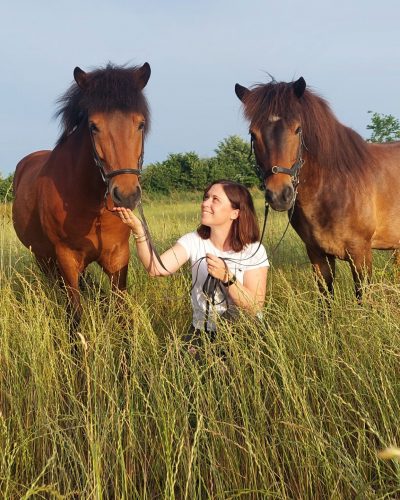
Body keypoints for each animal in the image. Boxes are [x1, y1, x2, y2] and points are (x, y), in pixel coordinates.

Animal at [13, 62, 152, 328]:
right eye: (93, 126)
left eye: (140, 124)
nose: (126, 195)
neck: (93, 204)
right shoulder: (66, 259)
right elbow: (75, 313)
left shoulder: (118, 257)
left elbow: (120, 311)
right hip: (43, 258)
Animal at [234, 76, 400, 298]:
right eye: (253, 134)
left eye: (297, 129)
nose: (279, 196)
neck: (334, 188)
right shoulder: (317, 255)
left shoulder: (360, 254)